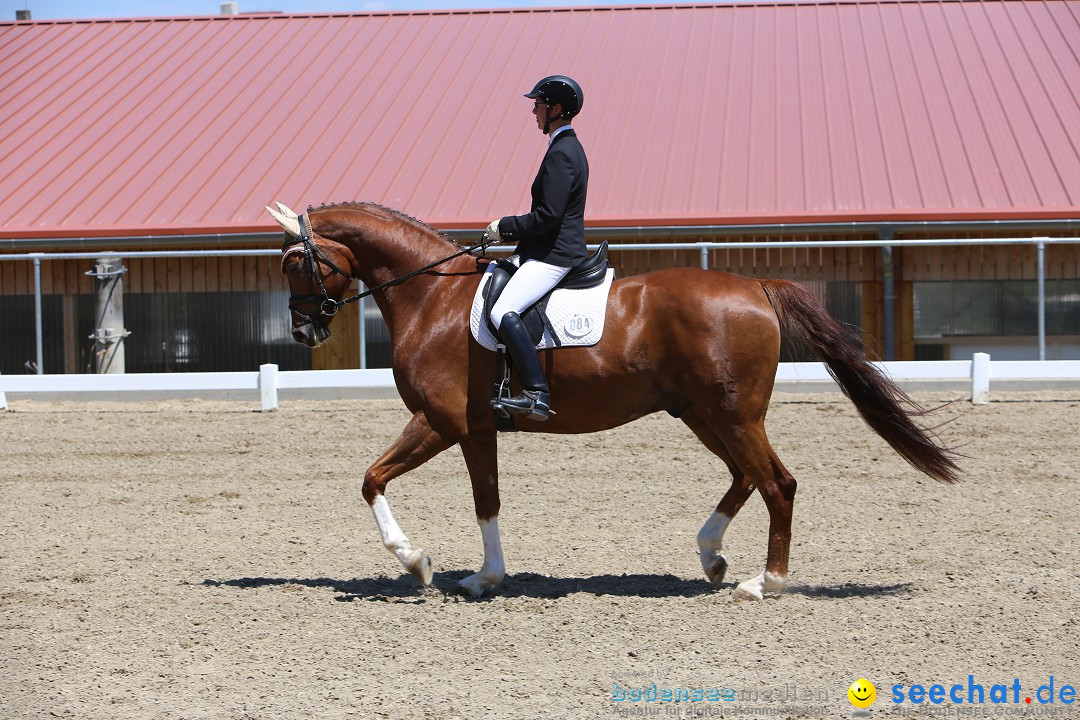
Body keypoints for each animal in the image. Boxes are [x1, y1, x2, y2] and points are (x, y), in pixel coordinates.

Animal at [265, 199, 959, 600]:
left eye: (295, 264)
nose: (303, 332)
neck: (433, 298)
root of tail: (757, 287)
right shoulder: (476, 429)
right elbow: (487, 501)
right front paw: (485, 577)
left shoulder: (438, 420)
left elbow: (371, 478)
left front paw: (415, 562)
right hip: (703, 414)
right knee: (745, 476)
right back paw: (712, 558)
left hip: (733, 413)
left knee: (776, 483)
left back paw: (765, 583)